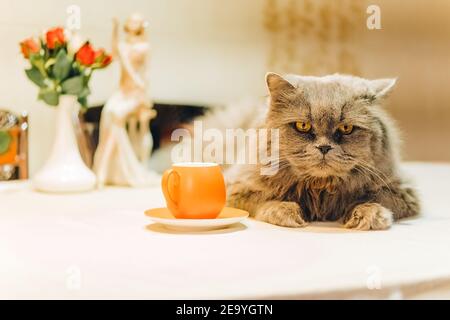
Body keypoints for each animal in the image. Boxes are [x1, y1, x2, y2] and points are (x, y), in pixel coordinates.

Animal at [227, 73, 420, 230]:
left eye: (346, 128)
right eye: (303, 126)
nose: (324, 148)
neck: (321, 189)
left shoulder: (402, 191)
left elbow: (369, 199)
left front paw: (369, 214)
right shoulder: (238, 188)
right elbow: (267, 201)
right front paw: (286, 211)